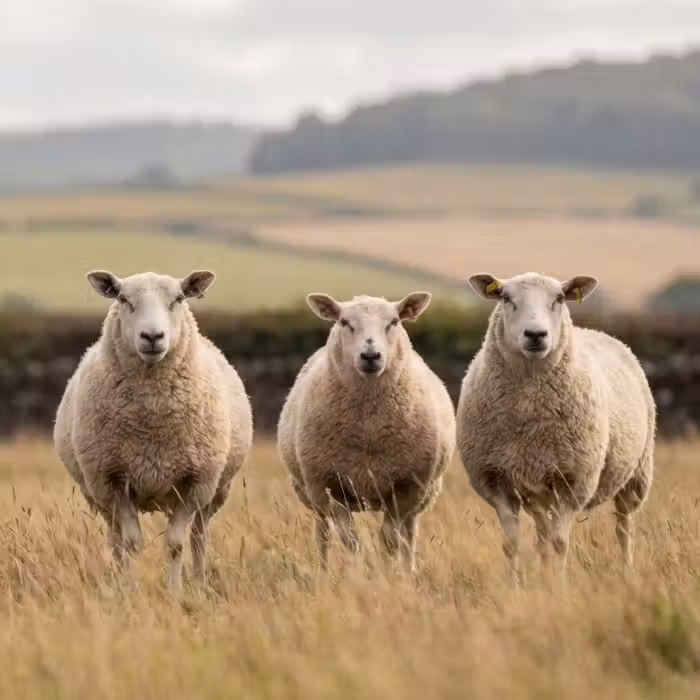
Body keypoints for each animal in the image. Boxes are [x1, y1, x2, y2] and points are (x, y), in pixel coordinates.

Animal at [54, 270, 253, 592]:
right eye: (123, 299)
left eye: (179, 298)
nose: (152, 336)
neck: (152, 423)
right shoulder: (113, 479)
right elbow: (131, 543)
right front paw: (132, 591)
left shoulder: (194, 482)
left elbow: (175, 544)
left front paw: (175, 593)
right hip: (96, 492)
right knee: (115, 540)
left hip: (214, 490)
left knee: (199, 536)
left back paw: (199, 583)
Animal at [278, 292, 456, 572]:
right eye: (344, 322)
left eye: (394, 321)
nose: (371, 355)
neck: (369, 427)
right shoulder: (330, 485)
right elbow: (350, 540)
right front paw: (359, 571)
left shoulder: (406, 487)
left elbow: (390, 539)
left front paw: (387, 572)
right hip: (311, 491)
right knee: (322, 534)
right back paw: (322, 571)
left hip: (423, 494)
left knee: (409, 535)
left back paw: (409, 571)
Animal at [457, 272, 655, 583]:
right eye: (505, 297)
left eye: (559, 298)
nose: (536, 335)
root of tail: (599, 332)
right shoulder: (496, 479)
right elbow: (511, 542)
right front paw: (513, 584)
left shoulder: (574, 480)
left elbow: (561, 542)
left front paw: (558, 584)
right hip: (539, 490)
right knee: (543, 533)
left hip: (637, 474)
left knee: (624, 527)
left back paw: (627, 571)